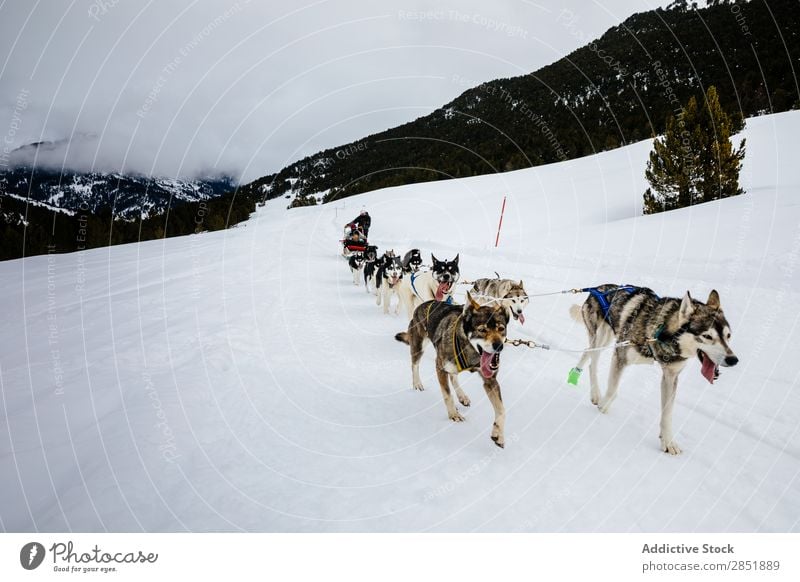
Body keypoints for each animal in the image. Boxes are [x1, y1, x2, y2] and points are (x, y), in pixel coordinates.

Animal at [396, 294, 512, 450]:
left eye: (501, 328)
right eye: (482, 330)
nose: (498, 346)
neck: (470, 350)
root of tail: (423, 304)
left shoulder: (490, 381)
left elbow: (501, 410)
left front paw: (498, 434)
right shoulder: (440, 368)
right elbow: (447, 395)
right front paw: (453, 414)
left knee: (454, 377)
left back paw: (462, 396)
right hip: (418, 347)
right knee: (415, 365)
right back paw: (417, 383)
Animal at [568, 286, 736, 456]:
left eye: (728, 336)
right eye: (707, 336)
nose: (733, 360)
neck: (660, 333)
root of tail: (597, 289)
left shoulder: (670, 376)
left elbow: (667, 414)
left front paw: (668, 442)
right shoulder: (620, 356)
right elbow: (612, 391)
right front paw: (603, 408)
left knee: (588, 355)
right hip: (600, 337)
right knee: (592, 361)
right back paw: (593, 392)